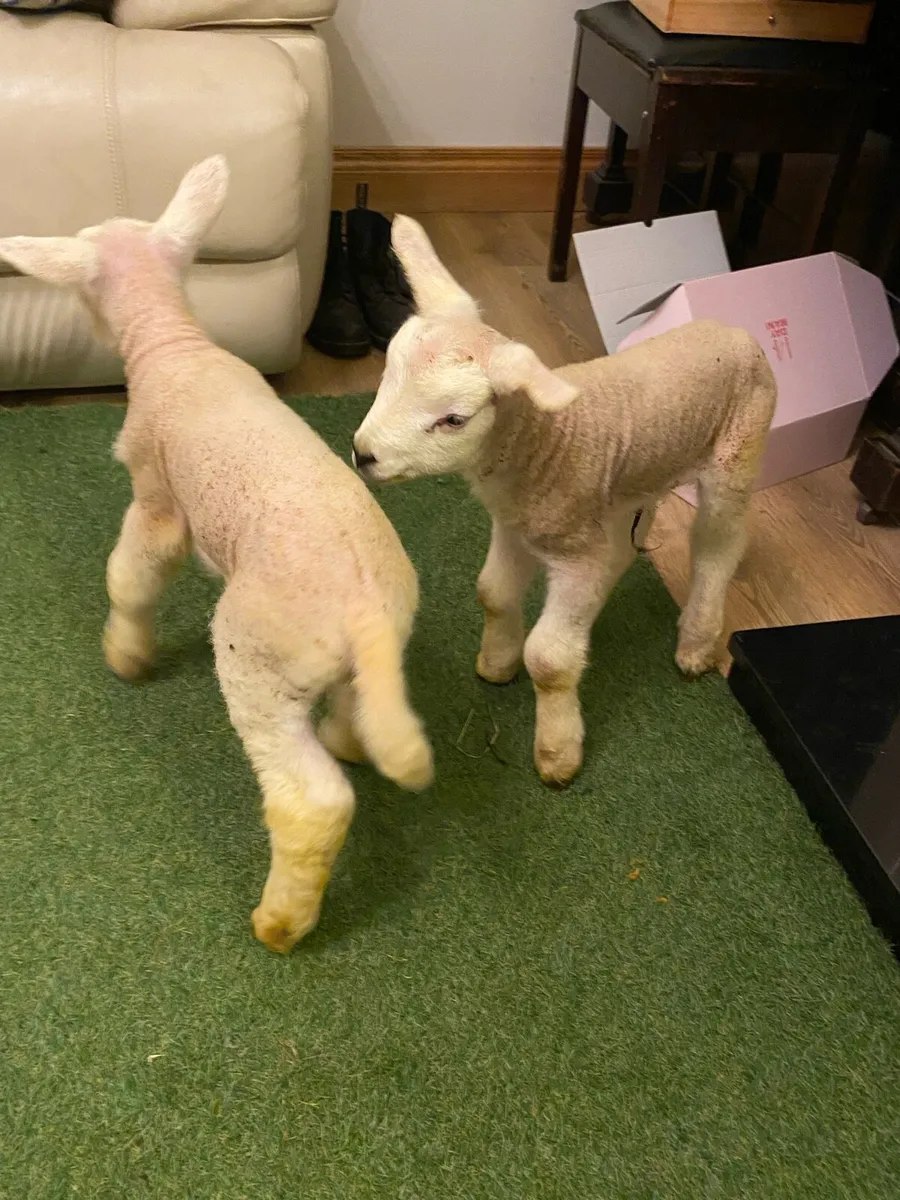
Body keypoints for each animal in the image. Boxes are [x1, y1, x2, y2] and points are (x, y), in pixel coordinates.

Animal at [0, 158, 433, 953]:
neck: (172, 343)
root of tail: (365, 614)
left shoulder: (156, 501)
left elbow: (131, 575)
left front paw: (126, 655)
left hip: (256, 658)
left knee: (312, 801)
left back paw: (282, 921)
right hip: (370, 644)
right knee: (360, 710)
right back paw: (348, 739)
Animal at [352, 217, 777, 788]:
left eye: (454, 419)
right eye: (387, 374)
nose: (362, 453)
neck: (544, 441)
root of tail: (736, 333)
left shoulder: (574, 552)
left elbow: (551, 660)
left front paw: (557, 755)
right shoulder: (515, 526)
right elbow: (492, 593)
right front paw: (497, 663)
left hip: (737, 455)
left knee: (718, 546)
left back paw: (695, 644)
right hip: (637, 478)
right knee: (633, 532)